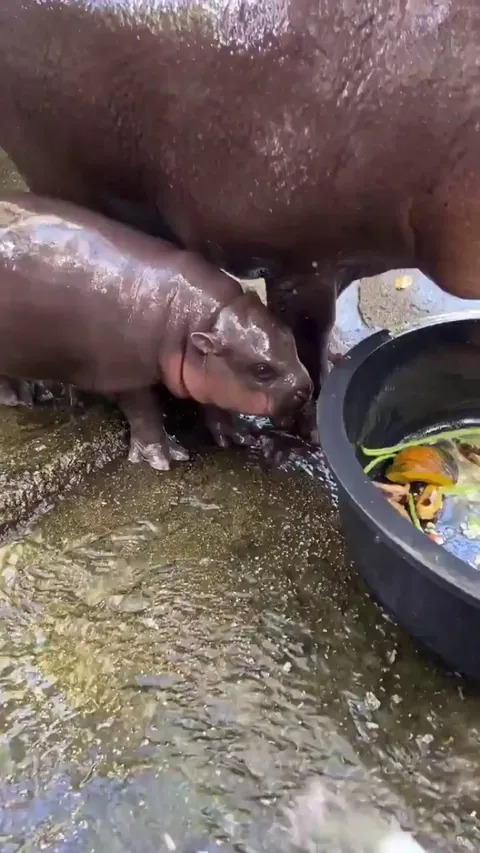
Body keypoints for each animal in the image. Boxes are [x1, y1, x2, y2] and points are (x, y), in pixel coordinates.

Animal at [0, 193, 312, 470]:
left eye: (290, 337)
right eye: (261, 370)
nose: (306, 388)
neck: (194, 319)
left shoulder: (210, 369)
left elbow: (214, 402)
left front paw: (238, 436)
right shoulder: (125, 375)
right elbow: (144, 413)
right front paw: (163, 458)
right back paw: (18, 397)